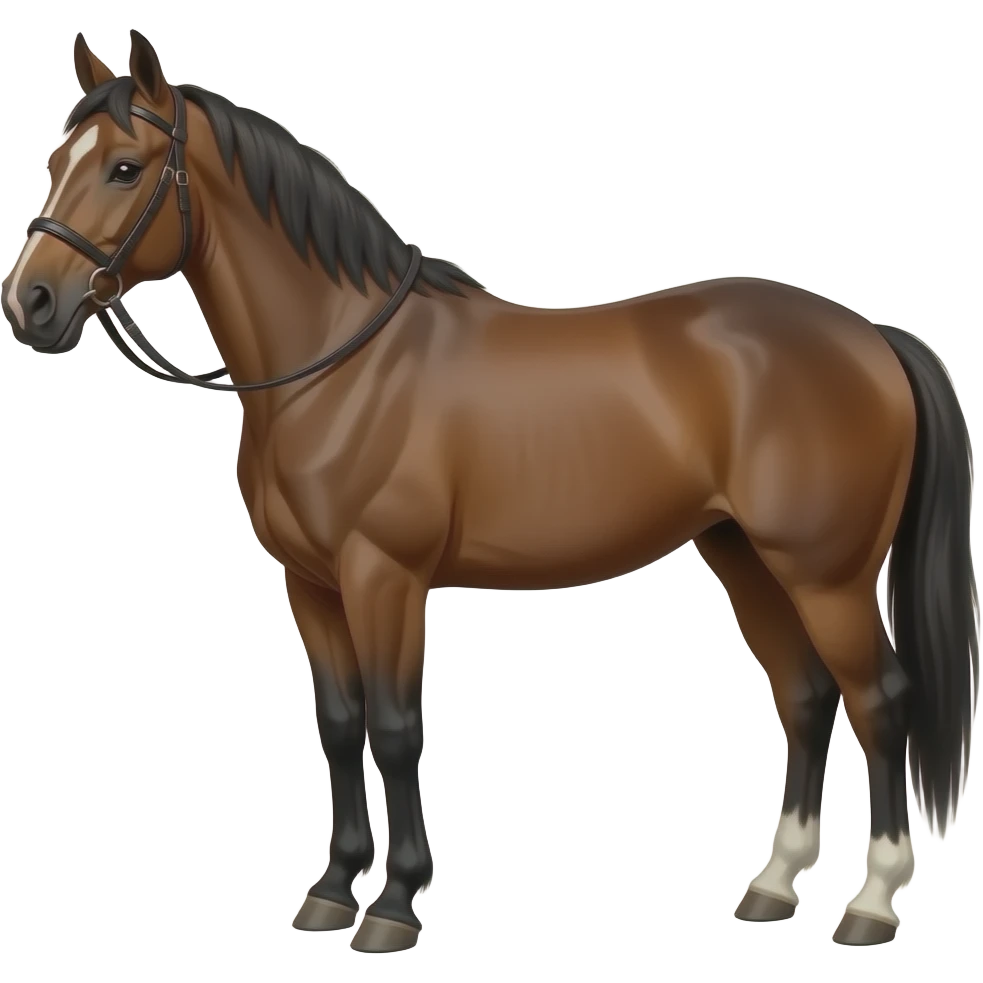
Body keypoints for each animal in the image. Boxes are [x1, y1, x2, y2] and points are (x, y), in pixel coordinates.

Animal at [3, 30, 978, 952]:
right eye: (55, 164)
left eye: (125, 168)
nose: (31, 305)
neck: (342, 363)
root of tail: (874, 337)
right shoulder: (310, 584)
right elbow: (340, 722)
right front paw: (331, 890)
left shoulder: (384, 577)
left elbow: (396, 725)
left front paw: (393, 904)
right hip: (744, 556)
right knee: (806, 696)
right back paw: (773, 886)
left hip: (826, 576)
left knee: (878, 701)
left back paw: (870, 903)